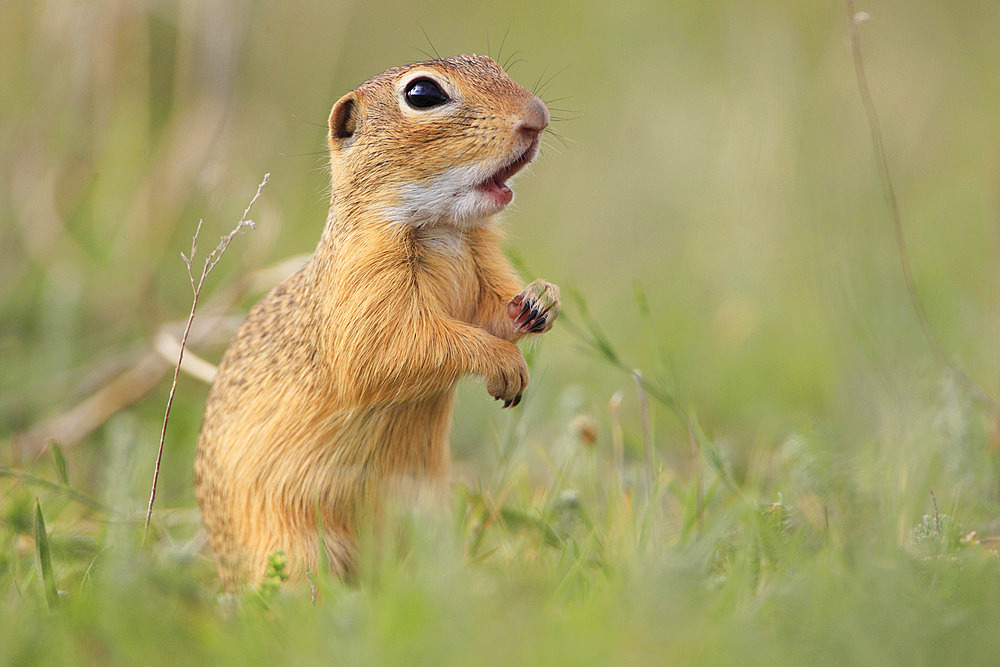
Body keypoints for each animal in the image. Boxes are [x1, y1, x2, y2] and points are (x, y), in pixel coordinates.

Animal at [191, 56, 560, 588]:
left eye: (493, 64)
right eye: (423, 94)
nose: (538, 115)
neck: (444, 229)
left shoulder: (483, 261)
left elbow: (494, 311)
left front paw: (541, 299)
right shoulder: (366, 286)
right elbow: (396, 351)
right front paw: (503, 363)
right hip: (298, 548)